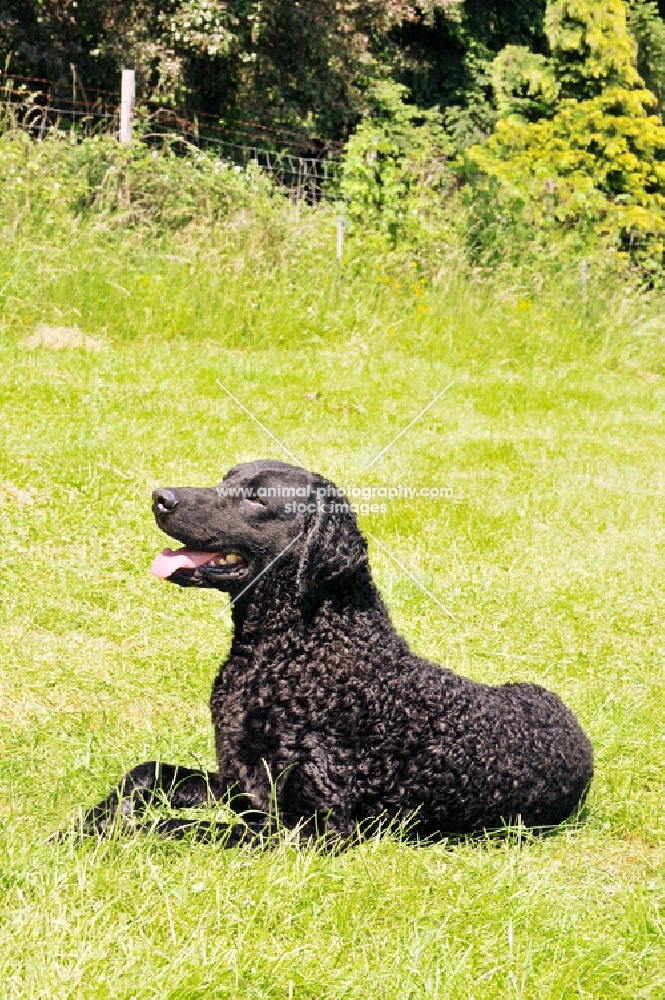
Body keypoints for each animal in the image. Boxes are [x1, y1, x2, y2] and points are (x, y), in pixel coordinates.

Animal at [78, 460, 592, 844]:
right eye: (223, 480)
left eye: (256, 498)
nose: (160, 496)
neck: (300, 651)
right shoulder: (242, 785)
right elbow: (147, 774)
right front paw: (93, 817)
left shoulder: (312, 828)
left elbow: (174, 826)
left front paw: (107, 832)